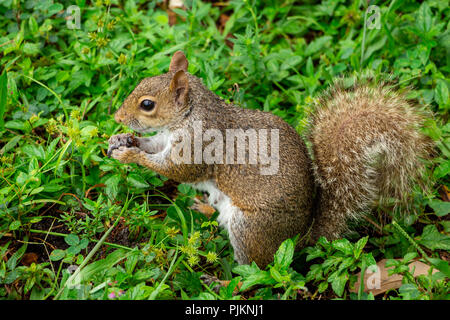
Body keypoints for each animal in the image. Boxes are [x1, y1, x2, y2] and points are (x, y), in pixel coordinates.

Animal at [106, 50, 432, 268]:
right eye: (142, 80)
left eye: (147, 104)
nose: (117, 117)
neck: (189, 114)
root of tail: (299, 238)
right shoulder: (167, 138)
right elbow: (154, 145)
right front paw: (122, 140)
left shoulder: (199, 145)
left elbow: (180, 170)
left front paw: (131, 154)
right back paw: (202, 207)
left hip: (251, 228)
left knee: (256, 268)